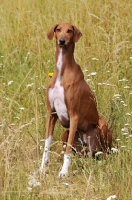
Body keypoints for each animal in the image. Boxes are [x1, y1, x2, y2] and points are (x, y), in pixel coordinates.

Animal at [40, 22, 111, 177]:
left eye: (69, 31)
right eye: (58, 30)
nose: (61, 41)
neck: (62, 71)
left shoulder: (74, 115)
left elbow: (67, 152)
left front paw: (63, 172)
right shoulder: (51, 114)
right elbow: (47, 144)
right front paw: (42, 168)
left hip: (102, 125)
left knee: (104, 152)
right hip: (65, 134)